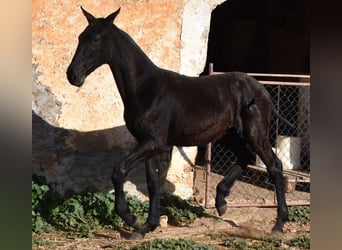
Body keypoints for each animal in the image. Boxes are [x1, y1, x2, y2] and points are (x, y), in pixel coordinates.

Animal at [66, 6, 288, 239]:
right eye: (80, 37)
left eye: (96, 39)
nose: (72, 75)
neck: (147, 89)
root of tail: (262, 89)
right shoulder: (149, 145)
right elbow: (153, 183)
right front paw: (147, 226)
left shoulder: (154, 143)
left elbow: (119, 171)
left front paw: (132, 219)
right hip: (228, 133)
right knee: (245, 155)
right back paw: (221, 201)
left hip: (255, 133)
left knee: (274, 166)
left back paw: (278, 224)